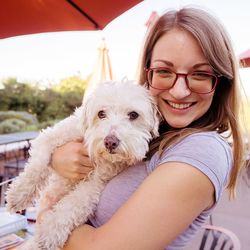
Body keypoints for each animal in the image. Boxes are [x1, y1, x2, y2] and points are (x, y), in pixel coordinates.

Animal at [5, 81, 159, 249]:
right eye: (101, 113)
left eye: (133, 115)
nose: (110, 142)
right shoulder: (52, 136)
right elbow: (38, 165)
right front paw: (18, 195)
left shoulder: (96, 184)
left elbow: (73, 204)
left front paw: (50, 232)